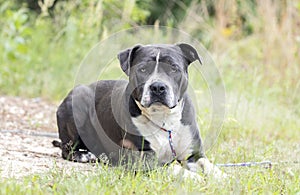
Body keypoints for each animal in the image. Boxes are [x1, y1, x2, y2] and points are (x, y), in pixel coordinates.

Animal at [52, 43, 224, 179]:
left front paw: (222, 176)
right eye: (142, 69)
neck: (163, 117)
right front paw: (193, 177)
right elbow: (171, 168)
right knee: (66, 149)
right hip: (79, 98)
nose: (158, 87)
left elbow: (207, 164)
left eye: (173, 68)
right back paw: (84, 155)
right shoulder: (143, 157)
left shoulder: (193, 155)